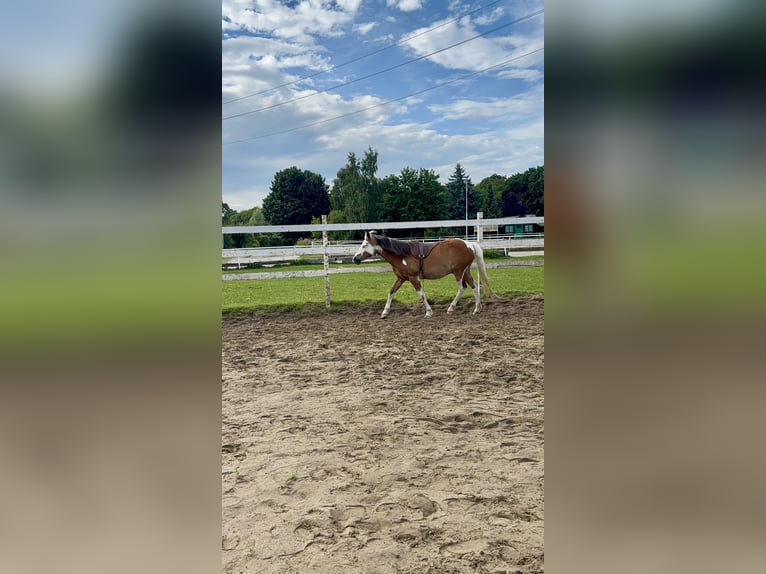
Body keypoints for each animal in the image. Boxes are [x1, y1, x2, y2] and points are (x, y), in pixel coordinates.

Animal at [352, 230, 493, 318]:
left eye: (364, 245)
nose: (354, 259)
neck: (402, 255)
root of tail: (470, 244)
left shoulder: (413, 278)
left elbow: (421, 294)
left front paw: (429, 312)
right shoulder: (401, 278)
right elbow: (391, 292)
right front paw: (385, 312)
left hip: (459, 272)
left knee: (462, 288)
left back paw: (451, 308)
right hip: (465, 271)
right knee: (474, 287)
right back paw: (477, 309)